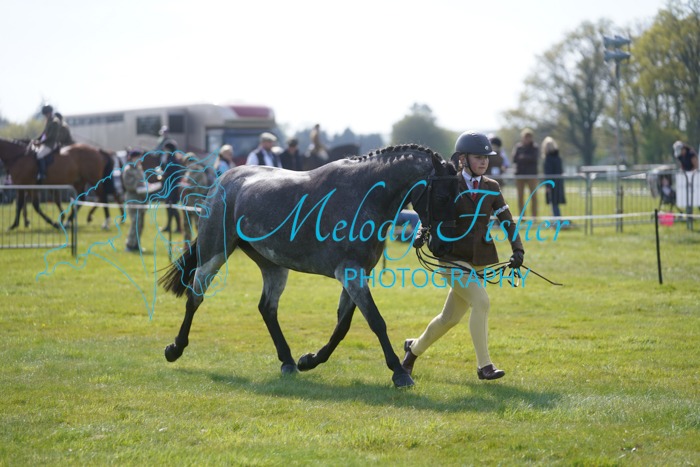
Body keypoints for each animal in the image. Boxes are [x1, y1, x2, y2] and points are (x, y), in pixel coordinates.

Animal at [158, 144, 459, 388]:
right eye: (443, 196)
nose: (443, 245)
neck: (363, 195)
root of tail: (224, 179)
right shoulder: (350, 273)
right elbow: (375, 321)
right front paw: (399, 372)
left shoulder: (356, 274)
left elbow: (343, 325)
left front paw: (309, 360)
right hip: (214, 254)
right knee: (195, 298)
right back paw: (175, 349)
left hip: (273, 266)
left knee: (267, 308)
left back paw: (288, 361)